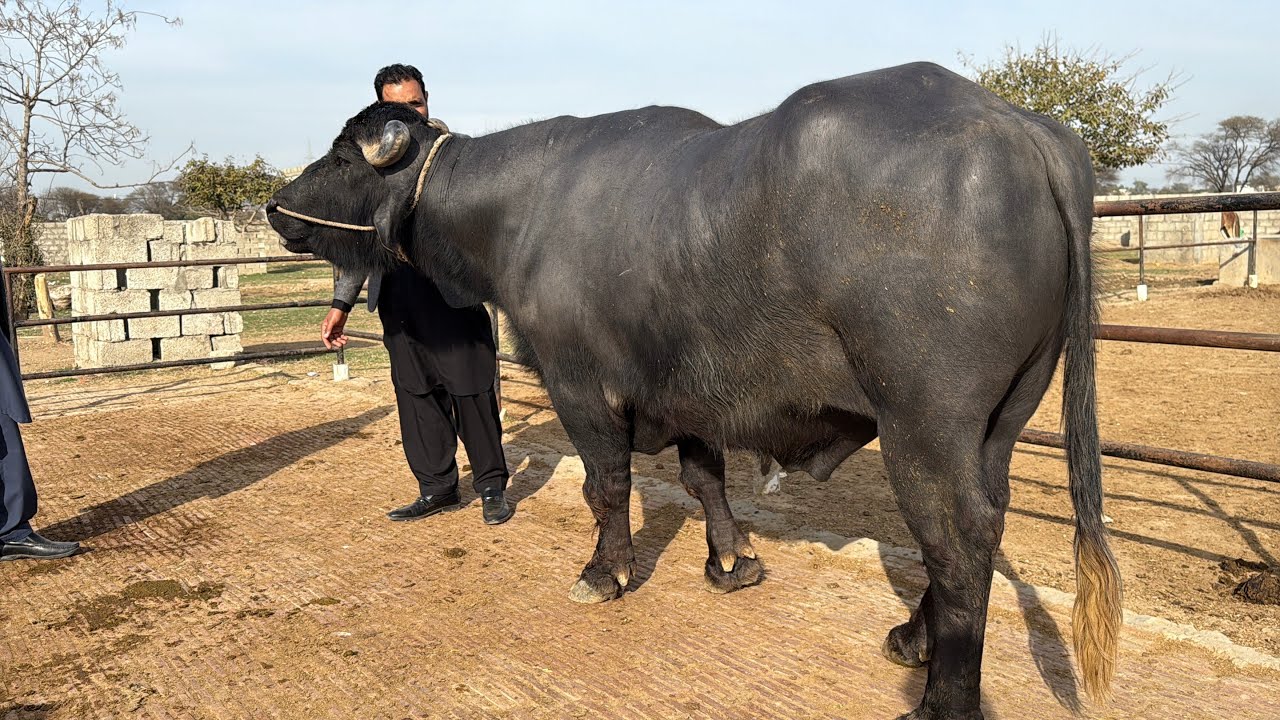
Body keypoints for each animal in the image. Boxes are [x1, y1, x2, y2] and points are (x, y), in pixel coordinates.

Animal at [268, 62, 1121, 719]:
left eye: (343, 156)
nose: (276, 207)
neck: (518, 210)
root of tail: (1025, 130)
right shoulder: (691, 391)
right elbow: (704, 477)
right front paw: (731, 562)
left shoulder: (581, 384)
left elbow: (607, 485)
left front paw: (603, 573)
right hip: (998, 424)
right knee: (985, 523)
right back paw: (914, 637)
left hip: (926, 424)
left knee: (957, 540)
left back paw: (942, 697)